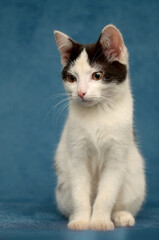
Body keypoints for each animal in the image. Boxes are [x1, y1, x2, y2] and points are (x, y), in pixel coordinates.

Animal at [53, 24, 145, 231]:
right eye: (71, 78)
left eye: (97, 75)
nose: (81, 92)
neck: (98, 114)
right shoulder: (76, 155)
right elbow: (80, 190)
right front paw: (81, 220)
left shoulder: (116, 157)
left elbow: (107, 194)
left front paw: (100, 221)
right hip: (62, 188)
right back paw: (74, 215)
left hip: (135, 179)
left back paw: (121, 216)